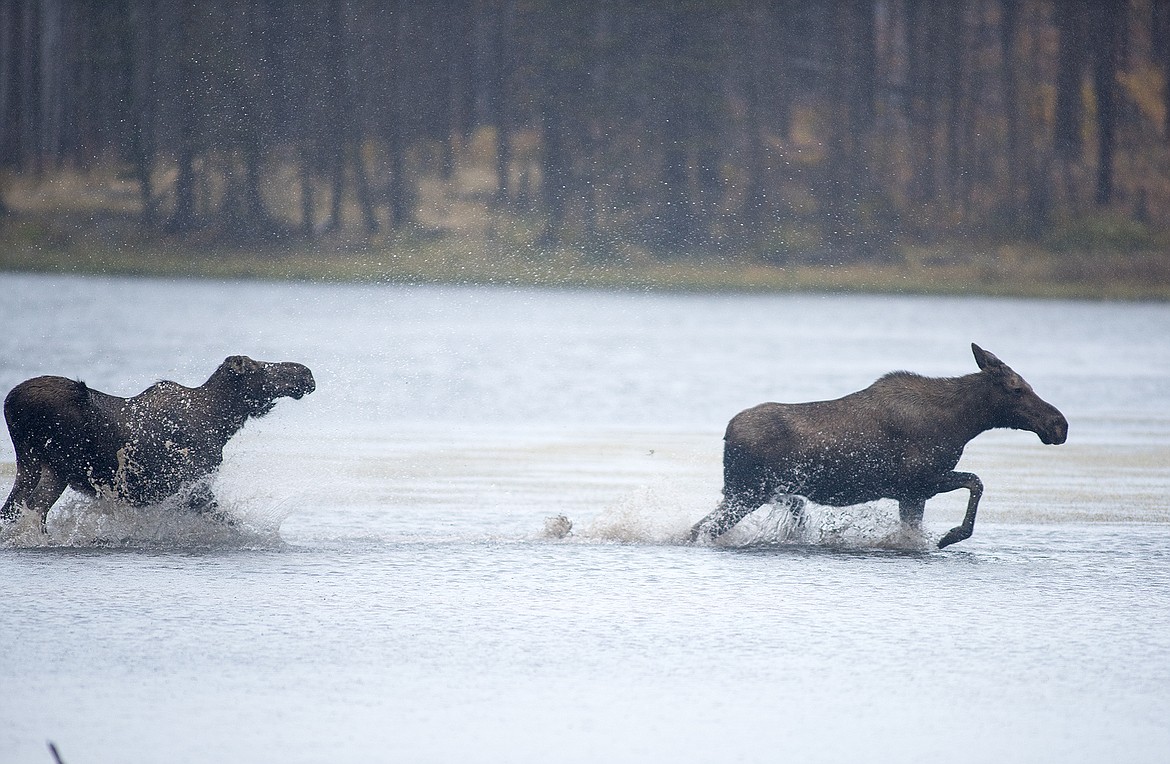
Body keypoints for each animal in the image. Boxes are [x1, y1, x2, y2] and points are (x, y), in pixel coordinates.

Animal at [0, 355, 315, 531]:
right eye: (259, 367)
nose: (305, 373)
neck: (221, 424)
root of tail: (9, 402)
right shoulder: (186, 486)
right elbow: (227, 520)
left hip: (42, 467)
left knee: (17, 510)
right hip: (53, 463)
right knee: (28, 511)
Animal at [692, 343, 1071, 547]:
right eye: (1017, 388)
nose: (1059, 424)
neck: (963, 423)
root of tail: (727, 433)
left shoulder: (913, 494)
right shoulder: (920, 481)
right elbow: (976, 482)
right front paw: (951, 535)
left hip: (754, 491)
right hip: (747, 492)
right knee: (703, 528)